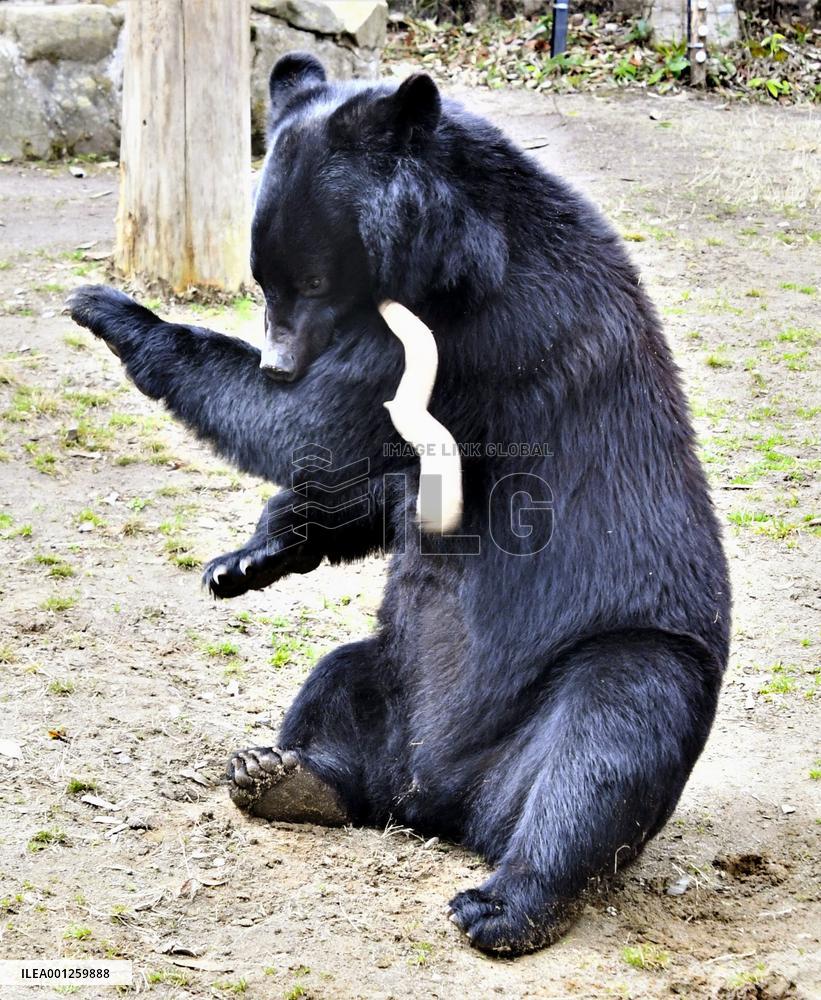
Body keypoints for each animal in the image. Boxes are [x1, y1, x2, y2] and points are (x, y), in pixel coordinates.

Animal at [67, 52, 731, 956]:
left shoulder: (482, 335)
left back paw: (502, 904)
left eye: (313, 277)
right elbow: (375, 485)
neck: (448, 256)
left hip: (621, 654)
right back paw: (284, 778)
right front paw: (241, 561)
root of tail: (447, 798)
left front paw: (106, 309)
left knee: (603, 746)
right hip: (390, 673)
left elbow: (317, 424)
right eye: (260, 276)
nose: (276, 361)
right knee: (337, 684)